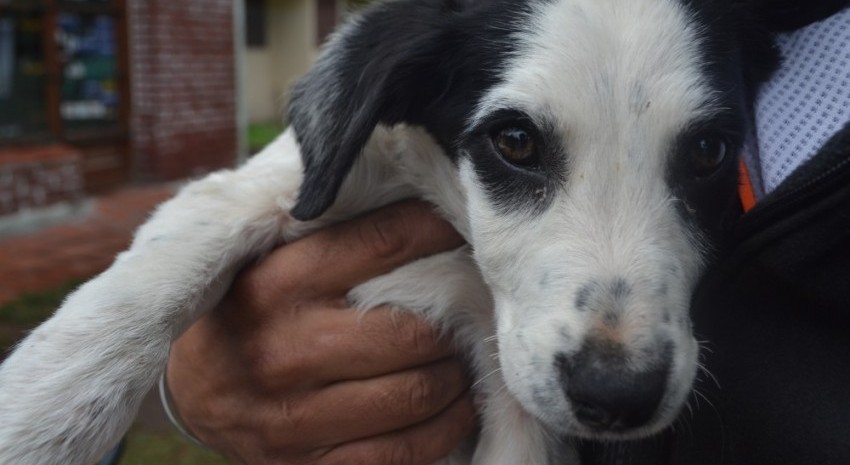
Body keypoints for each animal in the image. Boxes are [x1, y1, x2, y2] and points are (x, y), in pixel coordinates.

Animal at [0, 0, 828, 462]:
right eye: (514, 140)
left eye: (709, 151)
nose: (618, 396)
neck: (457, 238)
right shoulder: (281, 180)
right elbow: (164, 267)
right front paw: (38, 422)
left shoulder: (518, 410)